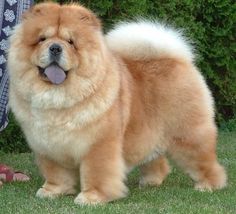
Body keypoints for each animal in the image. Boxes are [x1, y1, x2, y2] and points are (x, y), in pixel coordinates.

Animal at [8, 2, 227, 205]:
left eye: (71, 42)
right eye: (42, 39)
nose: (55, 47)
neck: (58, 98)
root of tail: (177, 59)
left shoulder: (98, 144)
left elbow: (96, 172)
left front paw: (91, 197)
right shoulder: (48, 146)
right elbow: (56, 173)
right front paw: (52, 192)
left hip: (188, 134)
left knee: (205, 161)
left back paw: (208, 185)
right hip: (149, 134)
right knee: (157, 161)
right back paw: (150, 181)